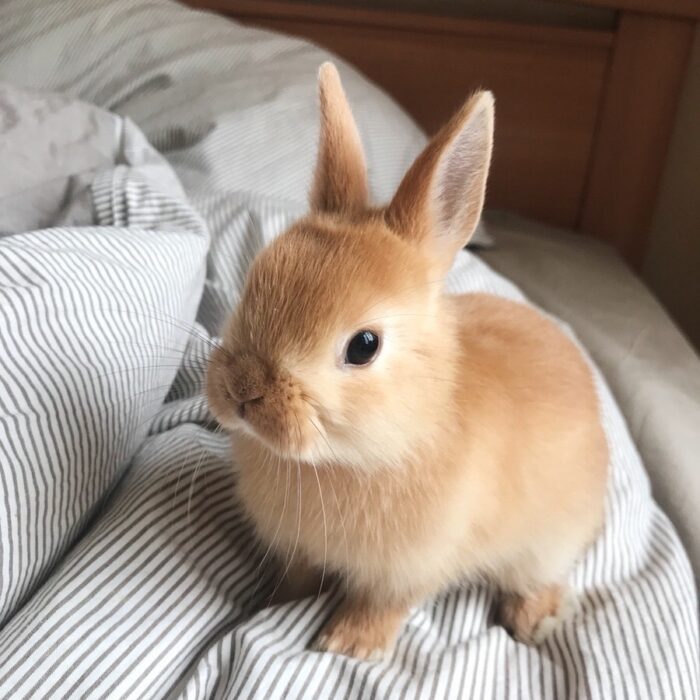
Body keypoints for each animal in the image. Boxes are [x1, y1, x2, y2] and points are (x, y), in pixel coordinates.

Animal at [206, 63, 608, 660]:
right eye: (252, 281)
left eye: (364, 346)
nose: (242, 391)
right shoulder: (298, 549)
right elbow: (297, 579)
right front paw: (270, 603)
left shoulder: (413, 567)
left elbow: (383, 605)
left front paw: (347, 645)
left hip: (549, 540)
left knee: (538, 576)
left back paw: (534, 620)